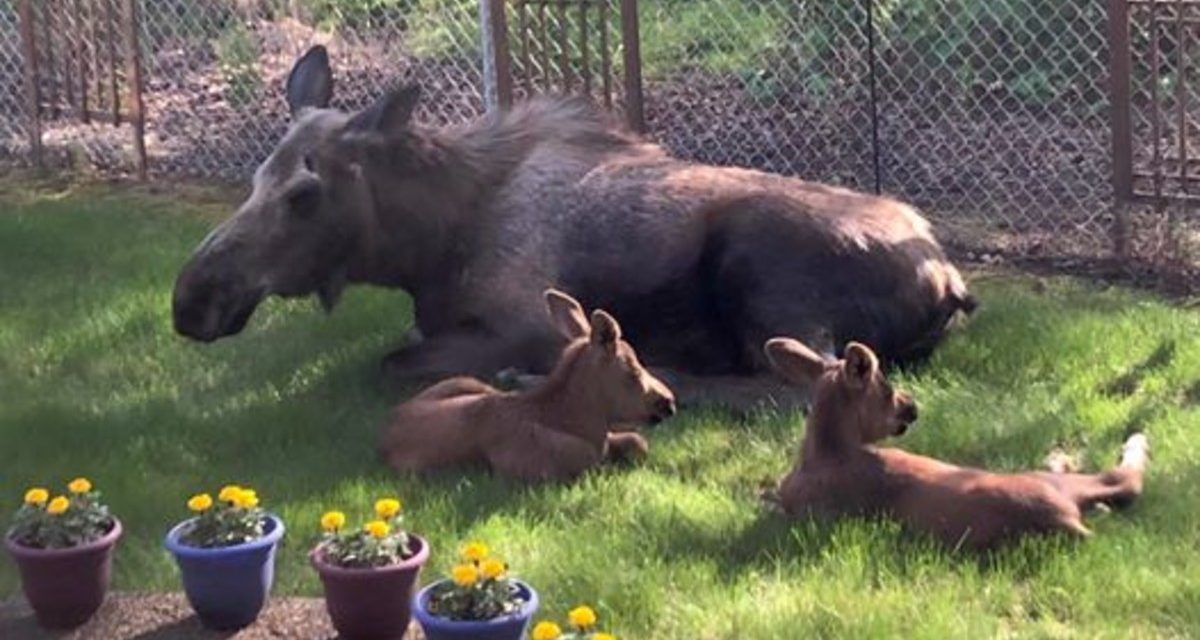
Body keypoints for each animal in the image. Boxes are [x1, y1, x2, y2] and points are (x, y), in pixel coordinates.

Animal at [171, 46, 974, 408]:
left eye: (304, 194)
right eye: (254, 178)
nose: (191, 299)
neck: (425, 247)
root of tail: (950, 280)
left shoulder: (521, 319)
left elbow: (391, 363)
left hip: (762, 268)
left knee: (794, 385)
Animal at [376, 289, 676, 480]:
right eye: (634, 370)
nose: (669, 402)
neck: (583, 424)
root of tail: (388, 425)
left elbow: (638, 442)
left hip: (469, 383)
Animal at [763, 333, 1147, 549]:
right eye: (886, 388)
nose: (912, 406)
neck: (827, 450)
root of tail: (1066, 521)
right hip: (1050, 483)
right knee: (1121, 480)